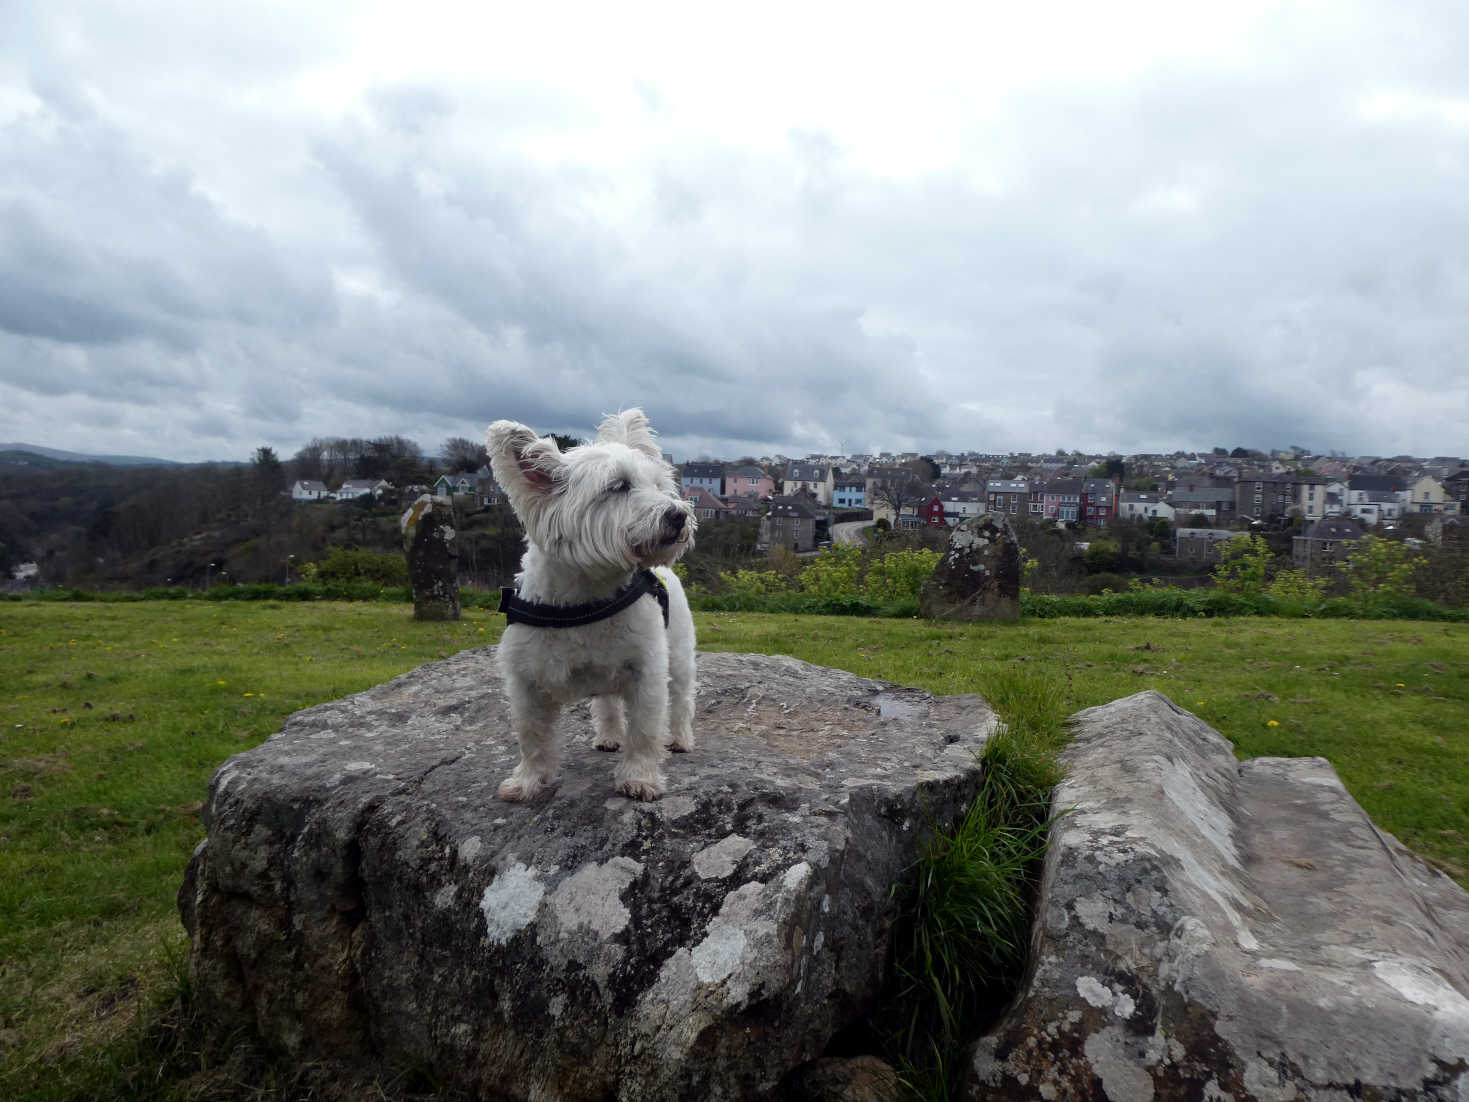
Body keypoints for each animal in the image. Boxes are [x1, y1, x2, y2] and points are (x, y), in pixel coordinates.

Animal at [487, 411, 699, 805]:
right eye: (618, 486)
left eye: (660, 485)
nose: (678, 514)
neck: (587, 595)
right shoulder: (526, 680)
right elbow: (531, 735)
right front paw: (527, 781)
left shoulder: (647, 670)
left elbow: (645, 729)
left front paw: (639, 778)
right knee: (608, 703)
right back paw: (609, 736)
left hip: (678, 654)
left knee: (681, 699)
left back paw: (680, 738)